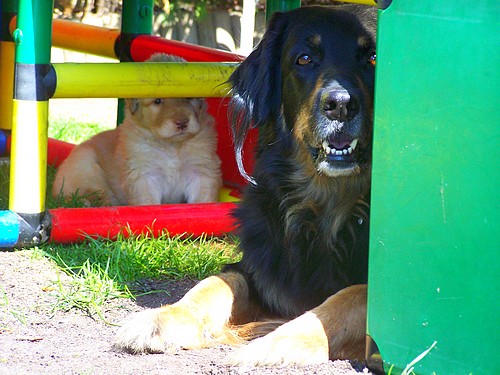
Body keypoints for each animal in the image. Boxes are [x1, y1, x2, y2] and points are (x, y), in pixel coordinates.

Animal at [52, 53, 221, 206]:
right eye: (157, 101)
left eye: (188, 97)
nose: (182, 122)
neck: (171, 146)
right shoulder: (144, 175)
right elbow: (148, 202)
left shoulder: (200, 171)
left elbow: (203, 200)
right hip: (86, 168)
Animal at [115, 4, 376, 366]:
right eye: (305, 58)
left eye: (374, 57)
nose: (340, 104)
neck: (324, 210)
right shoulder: (259, 268)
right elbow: (217, 283)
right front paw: (163, 317)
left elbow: (346, 300)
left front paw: (274, 343)